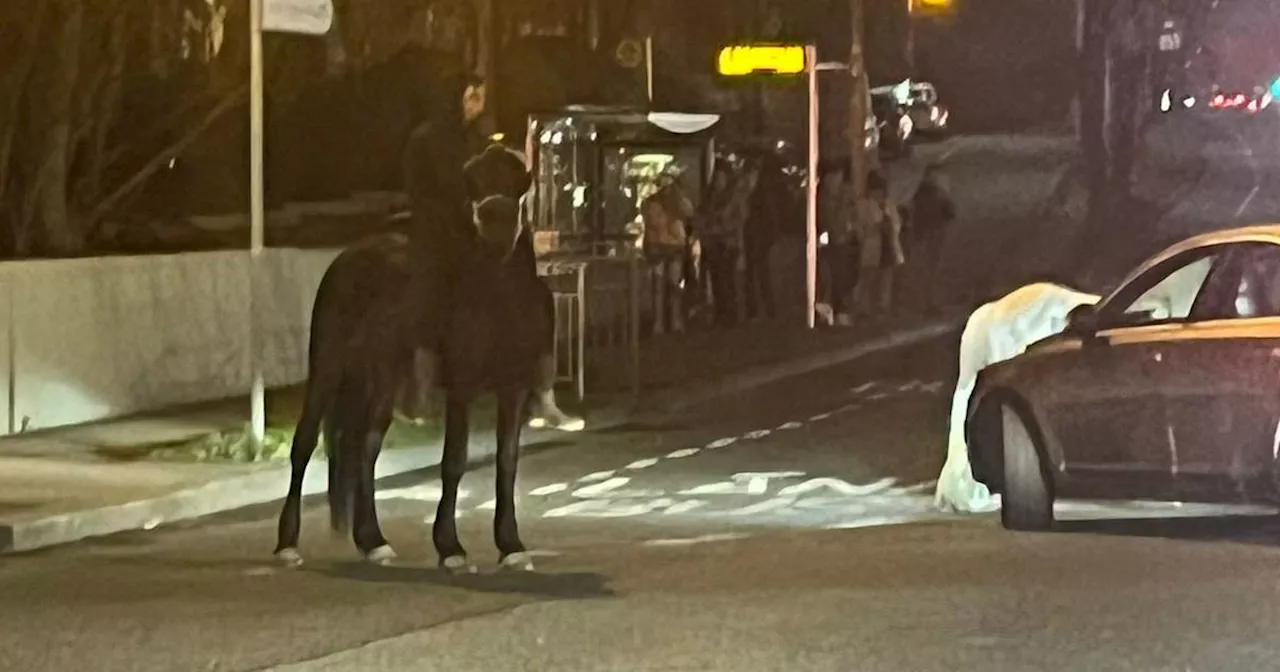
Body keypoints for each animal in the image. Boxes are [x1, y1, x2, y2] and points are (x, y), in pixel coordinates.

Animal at [275, 144, 550, 568]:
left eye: (520, 180)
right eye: (472, 181)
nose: (495, 220)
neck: (499, 297)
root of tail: (348, 257)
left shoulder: (514, 387)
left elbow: (507, 461)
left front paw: (510, 544)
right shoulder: (461, 385)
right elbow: (454, 460)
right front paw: (450, 547)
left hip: (383, 378)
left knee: (364, 447)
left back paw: (372, 540)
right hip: (328, 364)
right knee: (304, 444)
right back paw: (288, 543)